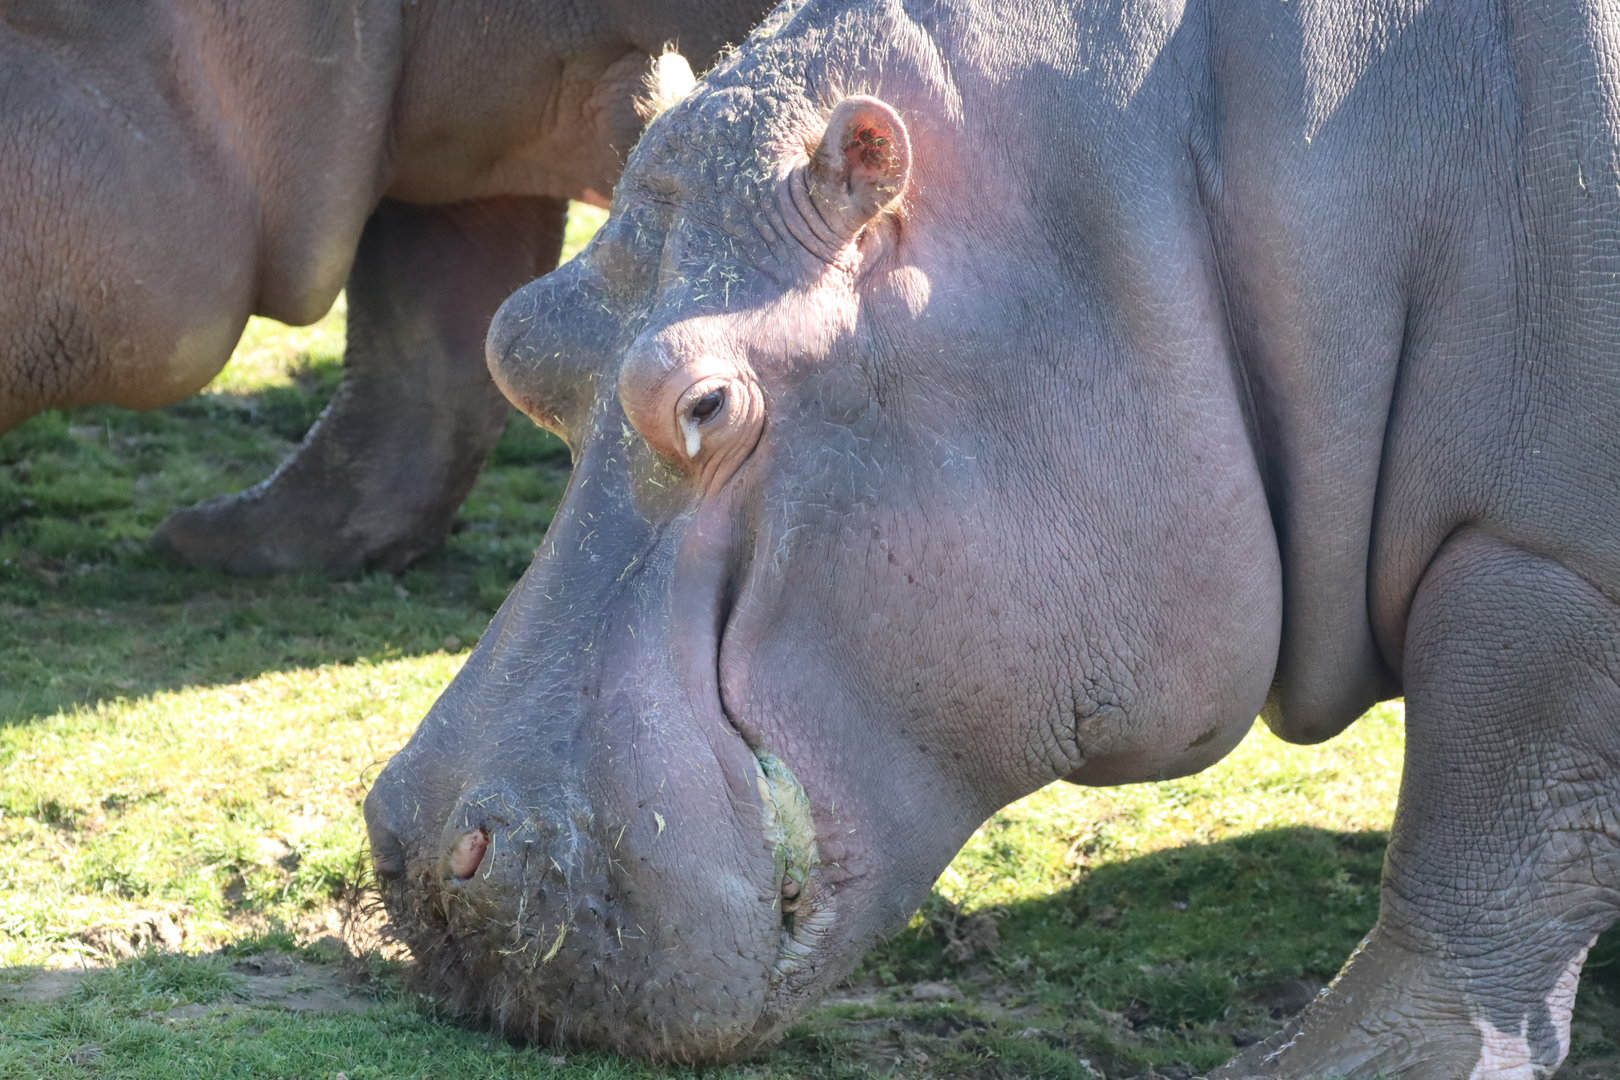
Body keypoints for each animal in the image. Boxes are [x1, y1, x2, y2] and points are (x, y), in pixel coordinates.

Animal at [365, 0, 1620, 1074]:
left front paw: (1313, 1064)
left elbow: (1493, 828)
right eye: (519, 337)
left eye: (703, 401)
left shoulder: (1544, 565)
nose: (426, 862)